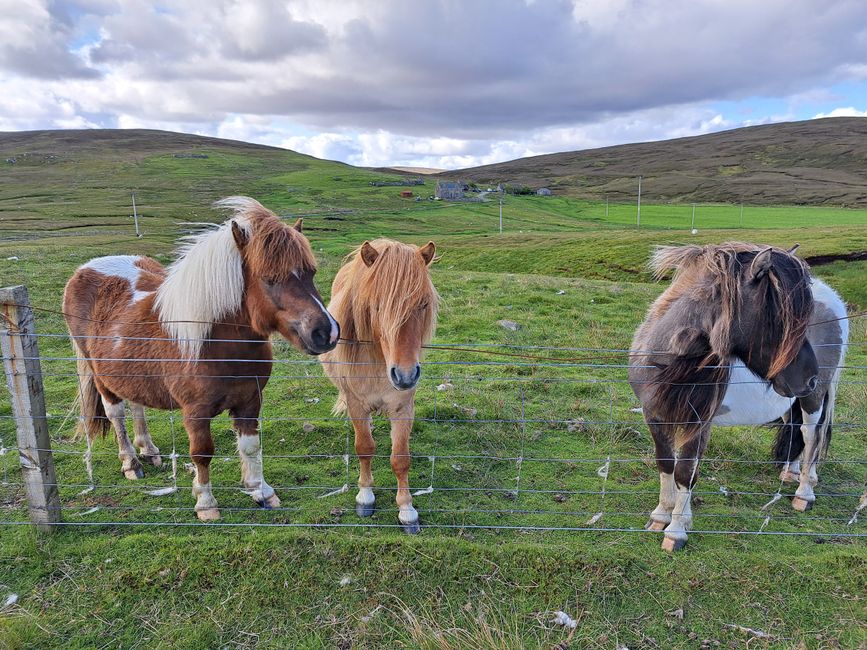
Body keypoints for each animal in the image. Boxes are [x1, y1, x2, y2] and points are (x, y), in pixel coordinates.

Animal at [63, 196, 339, 521]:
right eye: (269, 279)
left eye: (311, 273)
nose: (326, 332)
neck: (217, 344)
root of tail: (86, 268)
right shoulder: (195, 412)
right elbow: (202, 452)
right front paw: (206, 504)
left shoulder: (250, 400)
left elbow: (250, 446)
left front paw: (261, 491)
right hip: (100, 377)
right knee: (115, 414)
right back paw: (131, 463)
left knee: (136, 404)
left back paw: (149, 450)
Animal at [320, 238, 438, 534]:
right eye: (376, 305)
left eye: (423, 303)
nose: (405, 376)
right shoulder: (356, 404)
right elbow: (364, 447)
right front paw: (365, 496)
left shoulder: (403, 407)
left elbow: (401, 459)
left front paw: (407, 510)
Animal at [629, 243, 846, 551]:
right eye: (780, 318)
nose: (809, 377)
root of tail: (834, 300)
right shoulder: (655, 415)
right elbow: (666, 463)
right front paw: (660, 515)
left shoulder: (699, 423)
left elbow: (686, 472)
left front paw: (677, 530)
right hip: (789, 399)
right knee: (796, 430)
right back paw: (791, 473)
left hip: (812, 398)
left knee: (811, 434)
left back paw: (804, 493)